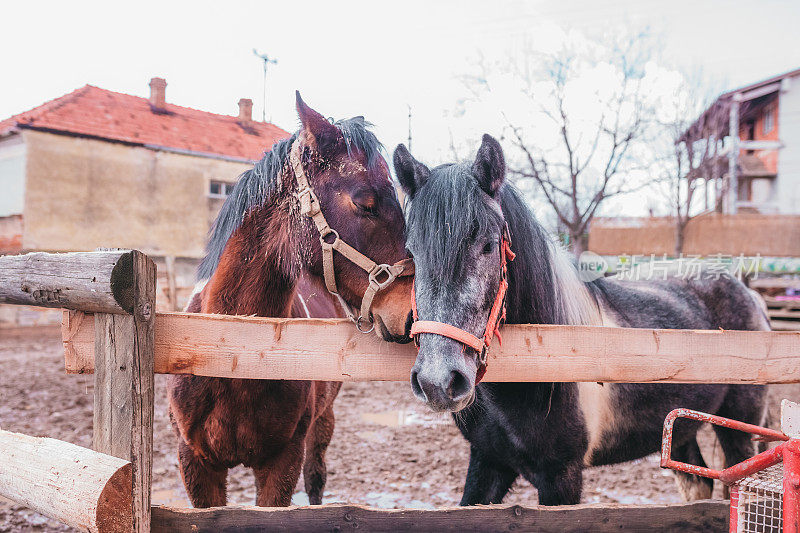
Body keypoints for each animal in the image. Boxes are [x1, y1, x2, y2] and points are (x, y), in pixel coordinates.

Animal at [166, 94, 410, 508]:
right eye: (366, 203)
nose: (411, 313)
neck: (232, 351)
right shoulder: (196, 465)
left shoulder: (282, 462)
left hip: (323, 422)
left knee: (317, 478)